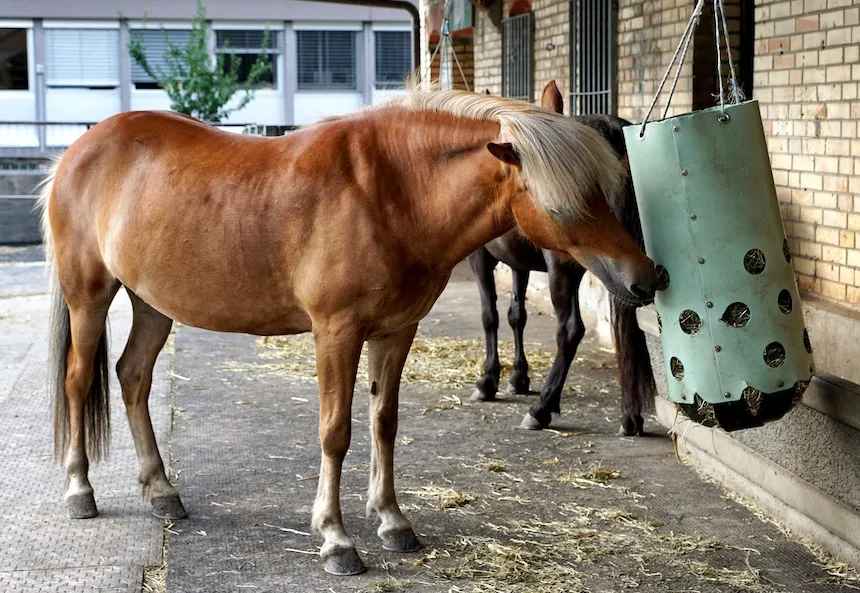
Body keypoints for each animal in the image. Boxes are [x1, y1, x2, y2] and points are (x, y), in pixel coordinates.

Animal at [468, 82, 656, 436]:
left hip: (569, 269)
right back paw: (630, 416)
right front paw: (518, 378)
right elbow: (516, 315)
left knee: (570, 330)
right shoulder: (520, 264)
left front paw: (488, 381)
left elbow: (490, 316)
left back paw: (542, 408)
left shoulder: (481, 259)